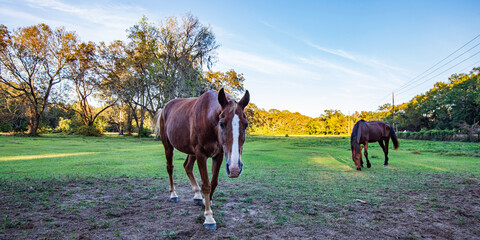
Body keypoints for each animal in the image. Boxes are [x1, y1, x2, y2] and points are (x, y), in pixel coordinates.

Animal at [154, 88, 251, 231]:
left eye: (245, 125)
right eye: (221, 123)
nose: (234, 169)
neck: (208, 119)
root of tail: (165, 107)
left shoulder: (218, 155)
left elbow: (213, 182)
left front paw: (206, 202)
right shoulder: (201, 154)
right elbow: (206, 185)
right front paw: (209, 218)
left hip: (191, 152)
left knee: (187, 167)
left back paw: (197, 195)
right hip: (168, 147)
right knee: (170, 168)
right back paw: (173, 195)